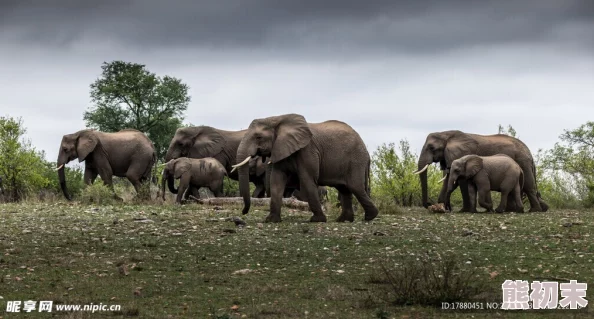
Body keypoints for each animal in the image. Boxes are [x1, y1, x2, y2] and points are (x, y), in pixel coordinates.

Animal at [231, 114, 374, 224]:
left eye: (258, 137)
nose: (243, 213)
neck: (277, 119)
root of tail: (366, 152)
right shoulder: (281, 148)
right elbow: (276, 181)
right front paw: (271, 220)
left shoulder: (307, 150)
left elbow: (307, 179)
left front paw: (317, 220)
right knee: (344, 189)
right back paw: (343, 220)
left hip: (356, 160)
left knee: (355, 187)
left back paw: (370, 217)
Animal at [412, 131, 544, 214]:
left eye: (431, 148)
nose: (429, 203)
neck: (446, 134)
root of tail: (529, 151)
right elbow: (448, 180)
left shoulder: (461, 155)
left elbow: (462, 183)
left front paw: (463, 211)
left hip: (523, 162)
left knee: (528, 187)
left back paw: (534, 210)